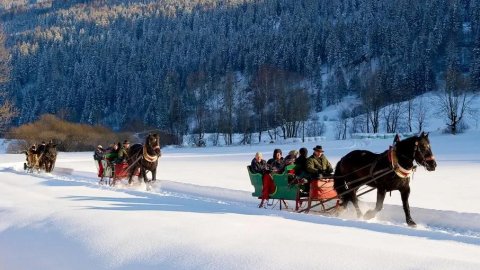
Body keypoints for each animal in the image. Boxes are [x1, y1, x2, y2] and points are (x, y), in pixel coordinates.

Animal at [249, 132, 436, 227]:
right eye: (423, 147)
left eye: (430, 146)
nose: (433, 165)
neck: (394, 163)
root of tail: (345, 157)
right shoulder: (382, 187)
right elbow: (378, 206)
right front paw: (368, 215)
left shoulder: (405, 189)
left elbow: (406, 206)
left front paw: (411, 222)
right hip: (353, 181)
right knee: (351, 197)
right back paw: (358, 214)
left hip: (356, 182)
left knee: (349, 197)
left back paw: (344, 211)